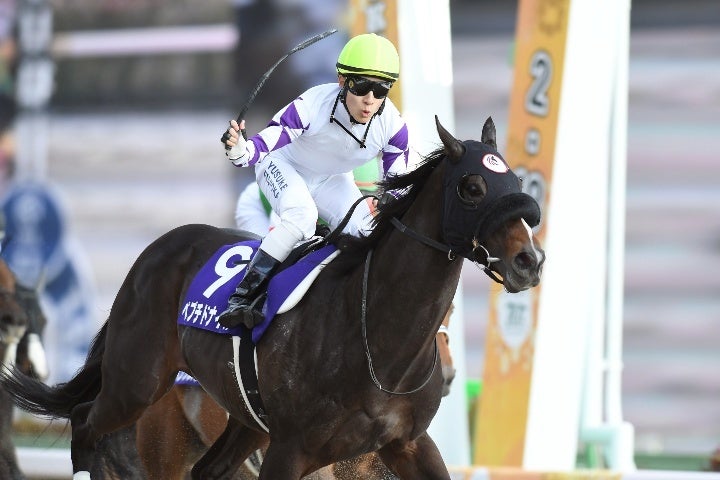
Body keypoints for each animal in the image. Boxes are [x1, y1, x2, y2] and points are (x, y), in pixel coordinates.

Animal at [0, 116, 544, 480]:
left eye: (516, 180)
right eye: (473, 186)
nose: (529, 261)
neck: (375, 338)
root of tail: (156, 251)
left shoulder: (406, 444)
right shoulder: (292, 450)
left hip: (245, 421)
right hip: (137, 385)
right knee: (83, 421)